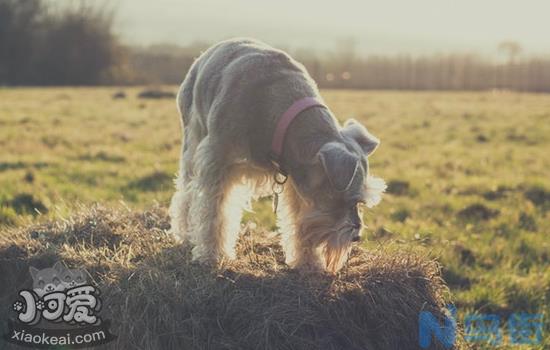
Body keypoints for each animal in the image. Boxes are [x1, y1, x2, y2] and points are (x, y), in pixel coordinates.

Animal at [169, 38, 388, 274]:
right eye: (347, 199)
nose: (356, 237)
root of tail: (205, 53)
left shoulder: (296, 182)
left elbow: (298, 221)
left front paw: (308, 262)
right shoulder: (218, 162)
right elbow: (215, 213)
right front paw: (211, 256)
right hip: (192, 141)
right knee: (186, 192)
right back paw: (185, 232)